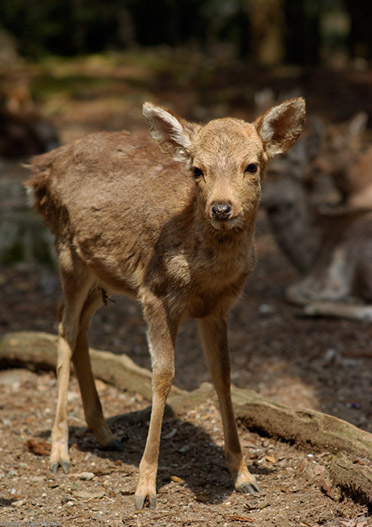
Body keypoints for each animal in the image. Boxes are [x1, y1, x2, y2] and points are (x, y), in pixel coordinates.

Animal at [25, 98, 306, 508]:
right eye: (197, 169)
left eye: (252, 165)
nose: (221, 208)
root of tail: (40, 169)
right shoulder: (154, 294)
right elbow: (163, 375)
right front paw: (145, 487)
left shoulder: (219, 308)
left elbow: (223, 374)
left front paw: (243, 474)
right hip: (67, 252)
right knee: (65, 327)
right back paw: (59, 452)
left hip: (103, 273)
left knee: (76, 322)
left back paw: (104, 433)